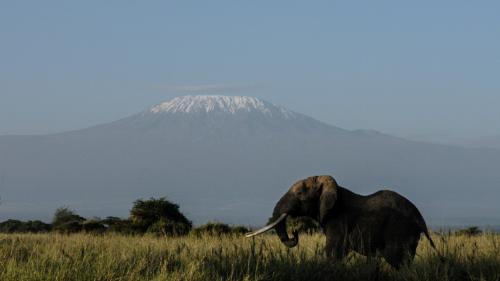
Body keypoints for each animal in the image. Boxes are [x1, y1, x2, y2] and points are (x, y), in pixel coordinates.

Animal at [247, 175, 438, 266]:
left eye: (300, 193)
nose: (295, 232)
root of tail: (420, 218)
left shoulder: (339, 221)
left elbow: (332, 252)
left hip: (400, 231)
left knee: (397, 260)